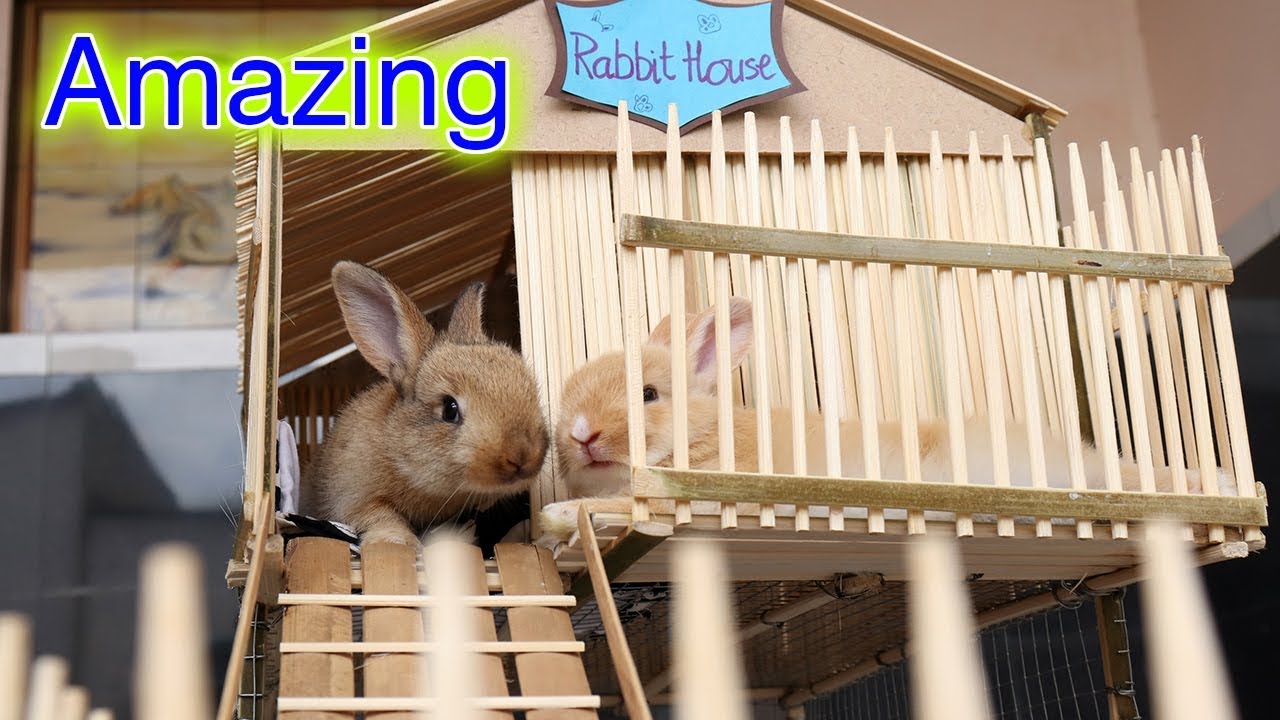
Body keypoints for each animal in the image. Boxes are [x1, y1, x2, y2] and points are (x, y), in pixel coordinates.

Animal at [300, 261, 550, 547]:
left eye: (529, 388)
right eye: (450, 409)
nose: (523, 455)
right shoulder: (351, 496)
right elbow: (379, 514)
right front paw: (398, 541)